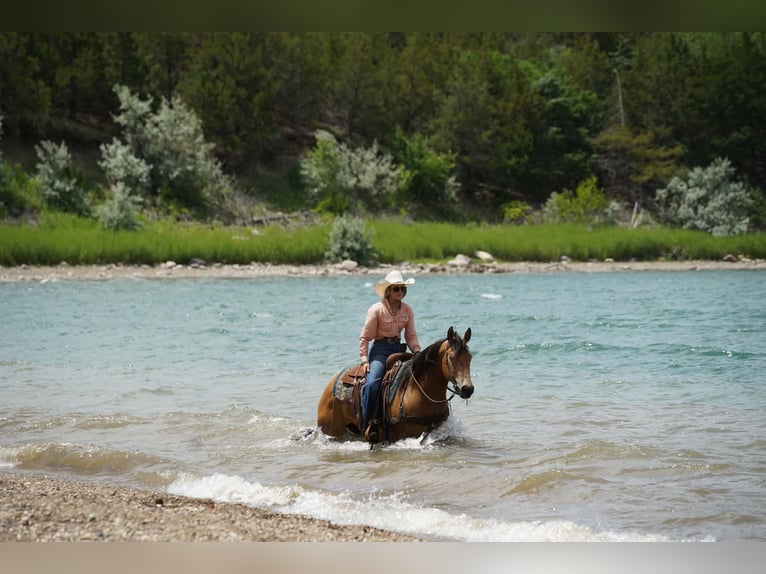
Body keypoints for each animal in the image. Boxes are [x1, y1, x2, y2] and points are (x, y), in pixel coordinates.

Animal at [317, 326, 473, 444]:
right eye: (450, 358)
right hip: (331, 430)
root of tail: (331, 382)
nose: (468, 389)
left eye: (470, 357)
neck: (419, 390)